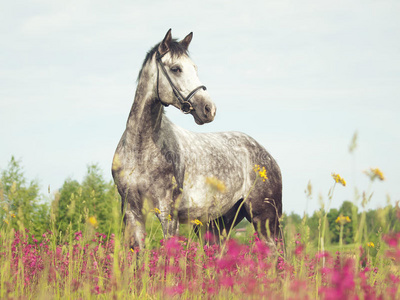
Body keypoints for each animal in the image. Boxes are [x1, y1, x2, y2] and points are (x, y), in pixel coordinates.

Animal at [111, 29, 282, 250]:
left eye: (194, 68)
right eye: (176, 69)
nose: (209, 109)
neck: (140, 149)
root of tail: (267, 156)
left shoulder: (168, 214)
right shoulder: (133, 211)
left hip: (265, 220)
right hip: (221, 223)